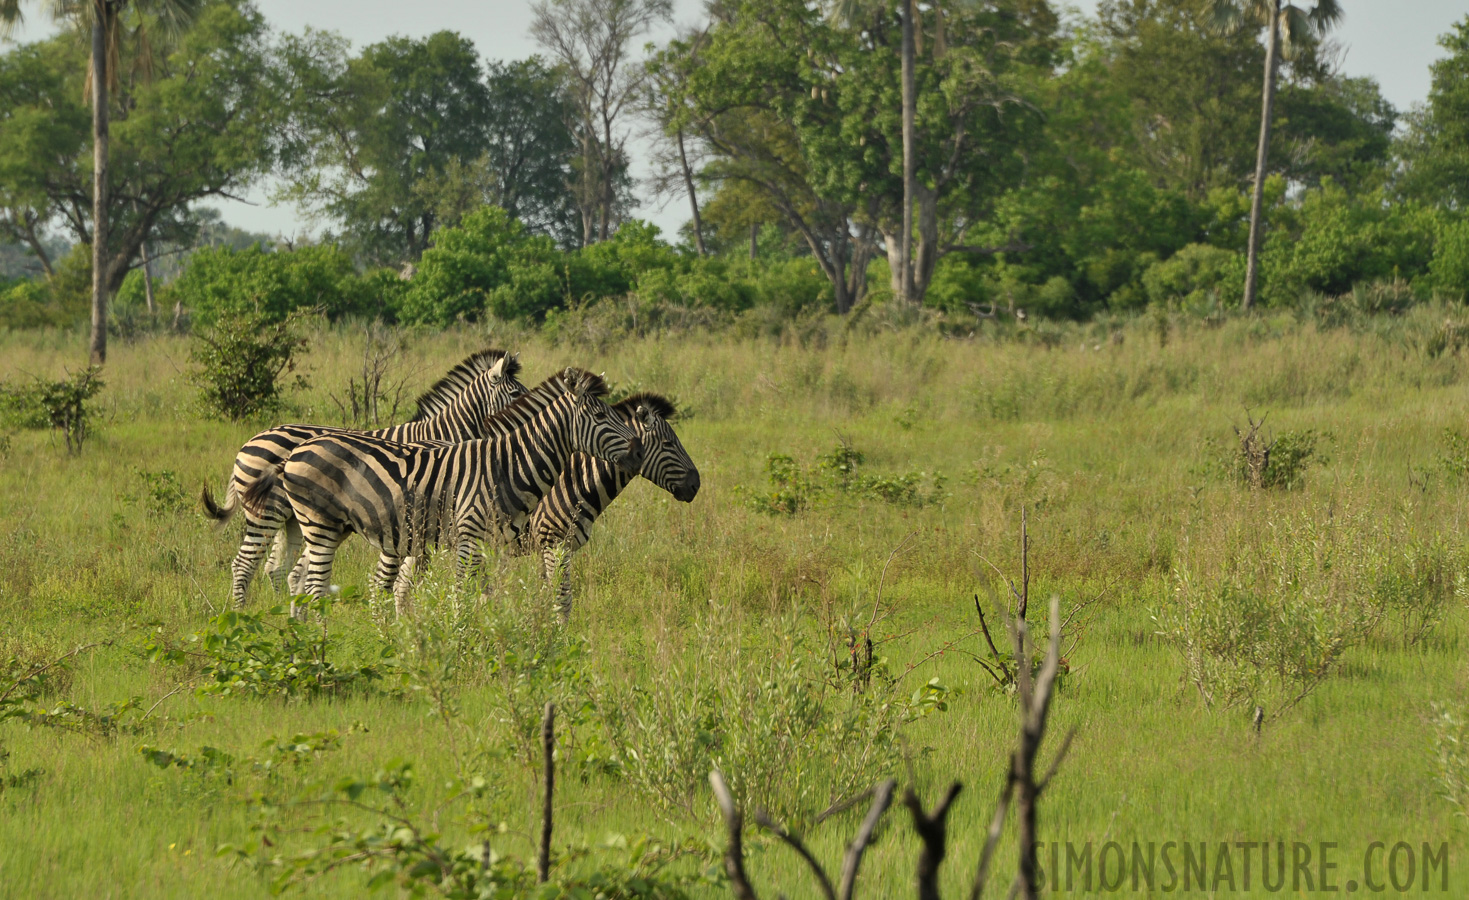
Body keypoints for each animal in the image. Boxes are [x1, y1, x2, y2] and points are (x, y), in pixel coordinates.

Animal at [201, 349, 528, 604]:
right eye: (515, 393)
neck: (444, 435)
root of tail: (249, 441)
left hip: (292, 518)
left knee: (273, 567)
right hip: (265, 514)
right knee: (244, 564)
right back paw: (242, 614)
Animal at [260, 367, 649, 610]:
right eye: (600, 416)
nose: (639, 451)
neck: (507, 463)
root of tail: (296, 450)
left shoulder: (489, 542)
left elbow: (486, 594)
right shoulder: (468, 536)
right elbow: (463, 594)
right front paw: (459, 645)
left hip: (328, 527)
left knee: (298, 579)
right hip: (319, 525)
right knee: (311, 586)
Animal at [522, 393, 693, 616]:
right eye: (667, 443)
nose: (696, 483)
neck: (574, 482)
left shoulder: (552, 548)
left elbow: (545, 596)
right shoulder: (552, 545)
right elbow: (561, 602)